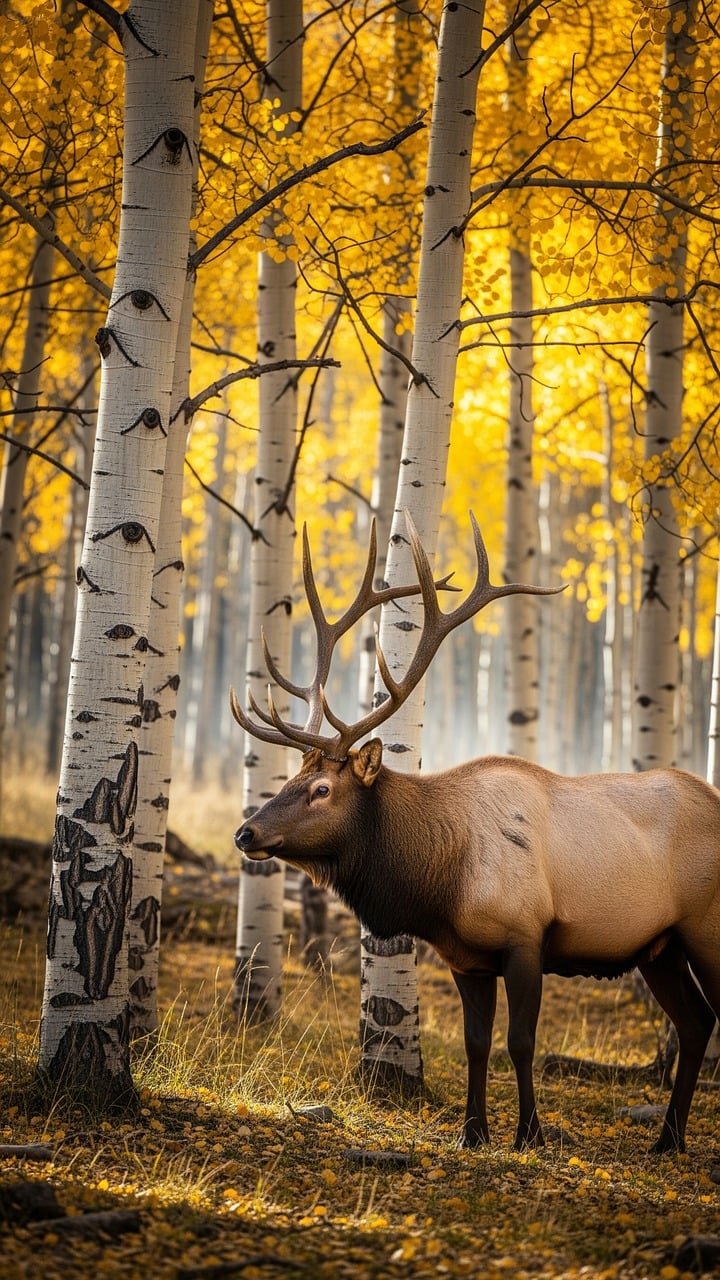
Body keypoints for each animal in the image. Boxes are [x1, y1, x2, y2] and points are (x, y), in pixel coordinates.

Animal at [233, 512, 720, 1154]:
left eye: (321, 790)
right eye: (292, 778)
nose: (246, 832)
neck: (442, 884)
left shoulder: (526, 939)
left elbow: (521, 1043)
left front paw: (529, 1133)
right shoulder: (466, 959)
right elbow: (475, 1044)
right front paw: (472, 1131)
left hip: (706, 928)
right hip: (660, 947)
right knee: (697, 1022)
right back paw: (668, 1138)